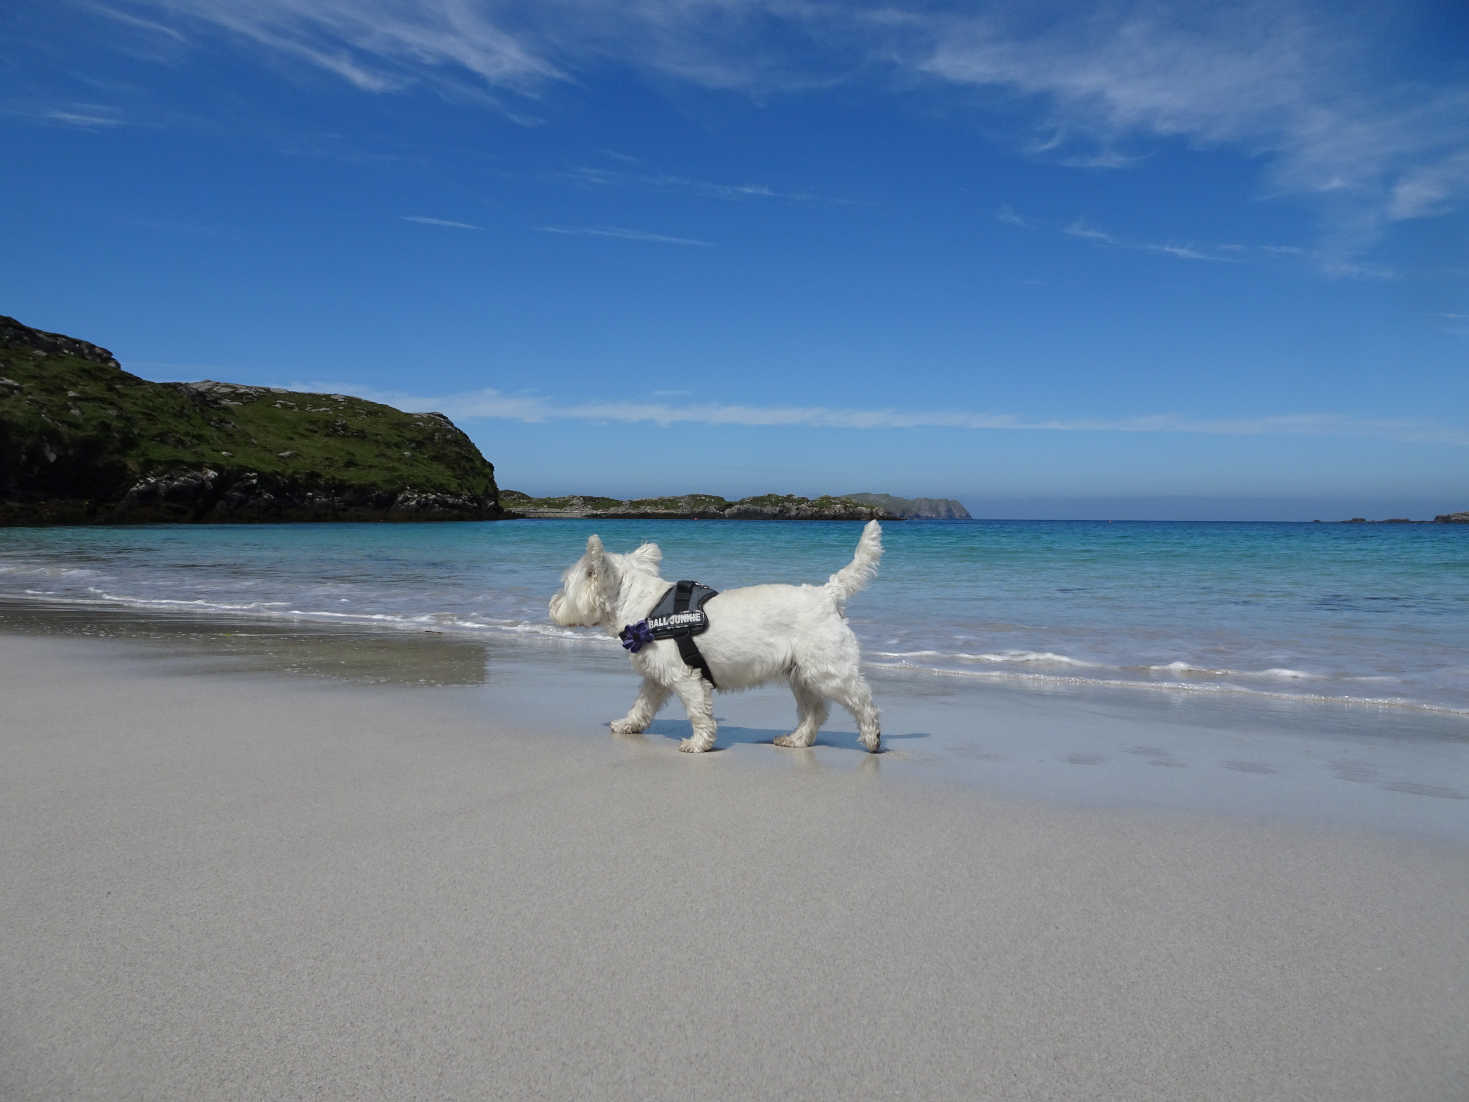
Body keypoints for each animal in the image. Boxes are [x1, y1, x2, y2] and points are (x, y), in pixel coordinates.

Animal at [546, 523, 875, 758]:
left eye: (565, 586)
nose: (552, 604)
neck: (646, 609)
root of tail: (827, 594)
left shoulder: (686, 677)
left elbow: (698, 711)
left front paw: (699, 743)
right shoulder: (657, 677)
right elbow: (642, 705)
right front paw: (628, 725)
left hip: (827, 669)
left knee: (861, 699)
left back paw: (872, 738)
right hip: (801, 675)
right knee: (814, 712)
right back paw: (795, 739)